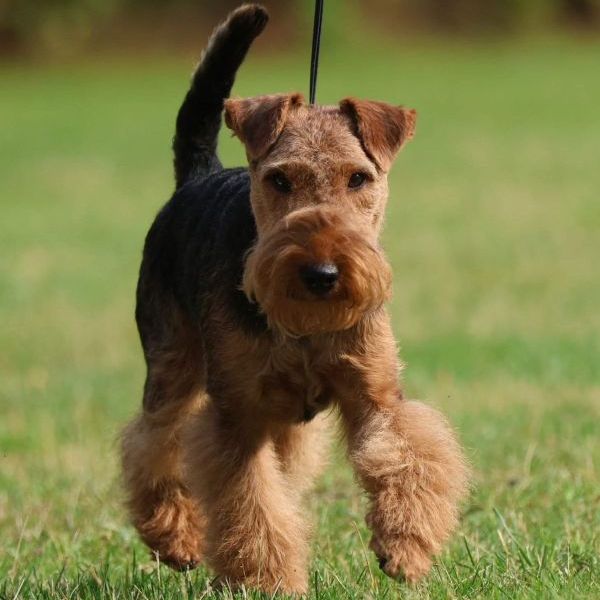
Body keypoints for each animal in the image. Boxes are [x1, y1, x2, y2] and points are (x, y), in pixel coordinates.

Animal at [120, 3, 468, 596]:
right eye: (280, 180)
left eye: (359, 178)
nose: (321, 274)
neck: (307, 327)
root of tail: (199, 175)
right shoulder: (237, 416)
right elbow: (251, 503)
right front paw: (267, 580)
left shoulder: (374, 394)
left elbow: (408, 457)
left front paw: (405, 548)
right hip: (172, 363)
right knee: (152, 442)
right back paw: (177, 539)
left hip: (280, 415)